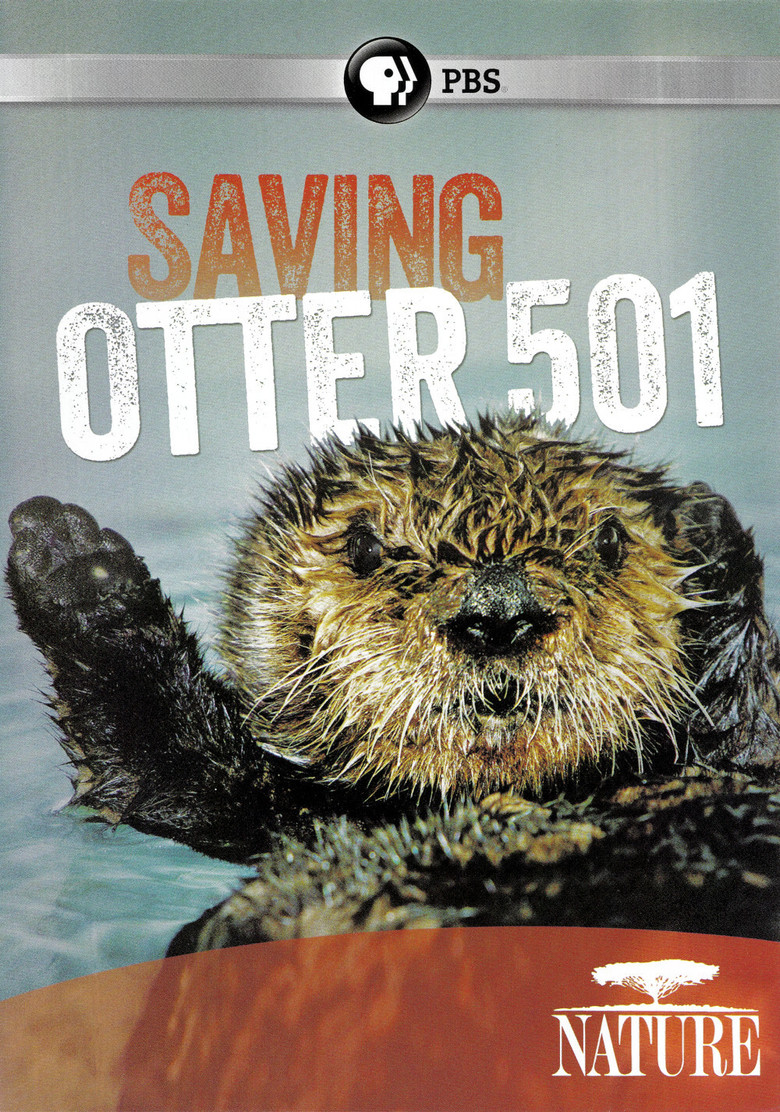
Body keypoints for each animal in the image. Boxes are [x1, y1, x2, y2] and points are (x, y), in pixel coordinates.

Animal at [7, 413, 780, 943]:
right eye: (363, 546)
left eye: (612, 541)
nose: (500, 609)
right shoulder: (270, 815)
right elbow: (159, 772)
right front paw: (70, 558)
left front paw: (709, 532)